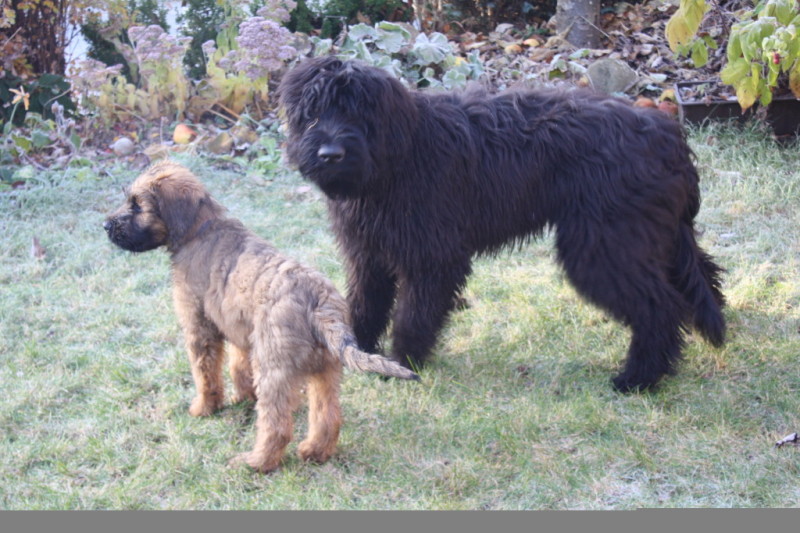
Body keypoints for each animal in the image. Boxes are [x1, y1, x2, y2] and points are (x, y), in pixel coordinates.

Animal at [103, 161, 419, 473]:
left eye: (137, 205)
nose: (106, 225)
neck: (200, 229)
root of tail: (320, 303)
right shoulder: (241, 332)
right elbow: (238, 367)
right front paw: (241, 397)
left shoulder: (199, 328)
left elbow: (205, 374)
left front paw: (204, 408)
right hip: (325, 370)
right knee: (327, 415)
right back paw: (315, 452)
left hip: (274, 370)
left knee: (277, 426)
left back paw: (256, 462)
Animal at [278, 56, 726, 392]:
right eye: (313, 113)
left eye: (357, 112)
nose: (330, 154)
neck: (398, 155)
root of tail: (668, 133)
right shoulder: (367, 253)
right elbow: (365, 304)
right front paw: (359, 354)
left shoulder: (433, 256)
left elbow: (413, 314)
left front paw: (402, 363)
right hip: (655, 239)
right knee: (700, 280)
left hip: (606, 245)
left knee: (660, 306)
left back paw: (638, 378)